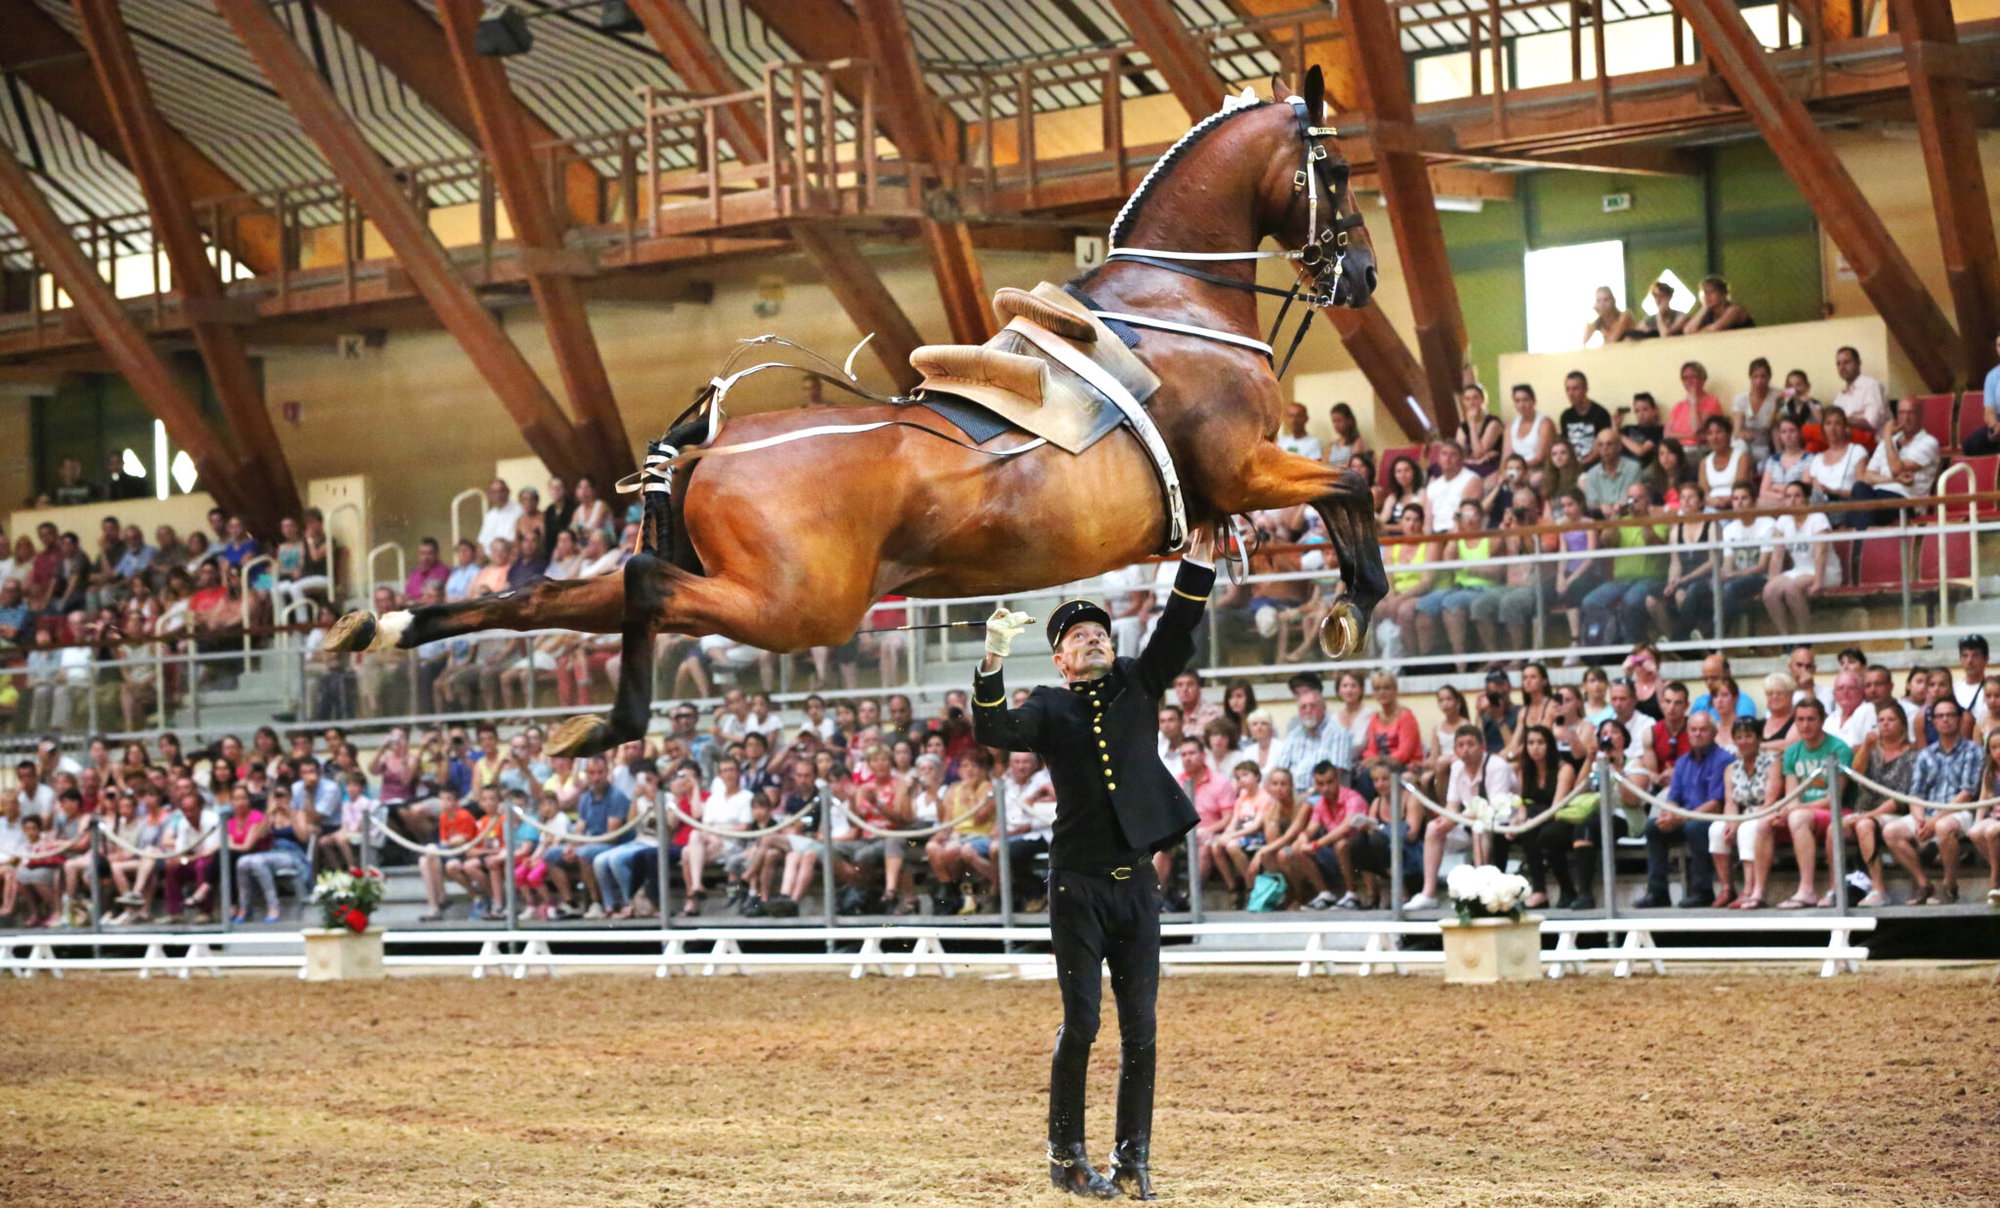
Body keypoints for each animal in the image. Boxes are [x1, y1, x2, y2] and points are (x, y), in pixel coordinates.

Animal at [325, 68, 1389, 757]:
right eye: (1335, 174)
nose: (1365, 274)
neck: (1176, 299)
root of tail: (708, 451)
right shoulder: (1245, 467)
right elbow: (1352, 484)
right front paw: (1353, 606)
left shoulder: (1230, 490)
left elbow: (1335, 493)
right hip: (795, 605)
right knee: (637, 585)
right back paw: (606, 722)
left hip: (745, 586)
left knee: (558, 592)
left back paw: (385, 628)